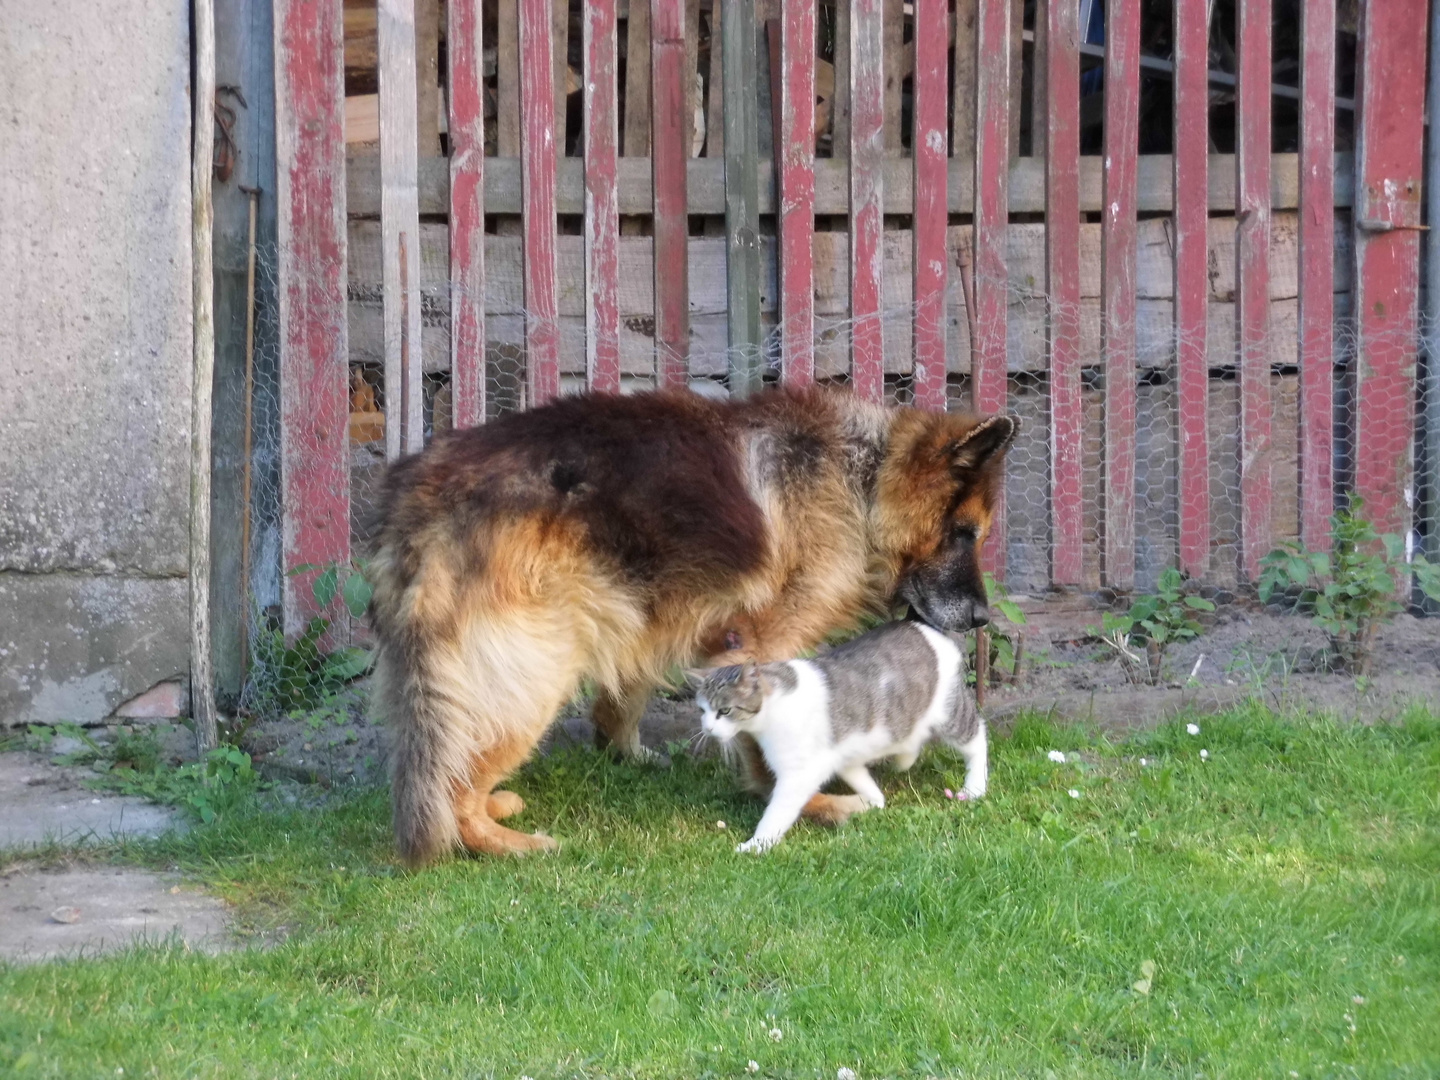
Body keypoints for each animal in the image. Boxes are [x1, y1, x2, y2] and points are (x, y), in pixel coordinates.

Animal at [688, 622, 984, 858]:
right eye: (702, 710)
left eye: (724, 711)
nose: (707, 728)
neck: (771, 707)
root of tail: (928, 630)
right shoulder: (841, 757)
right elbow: (864, 784)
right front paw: (872, 802)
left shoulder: (798, 774)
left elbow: (776, 813)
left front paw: (756, 845)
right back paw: (903, 759)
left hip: (950, 713)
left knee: (977, 736)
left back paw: (974, 788)